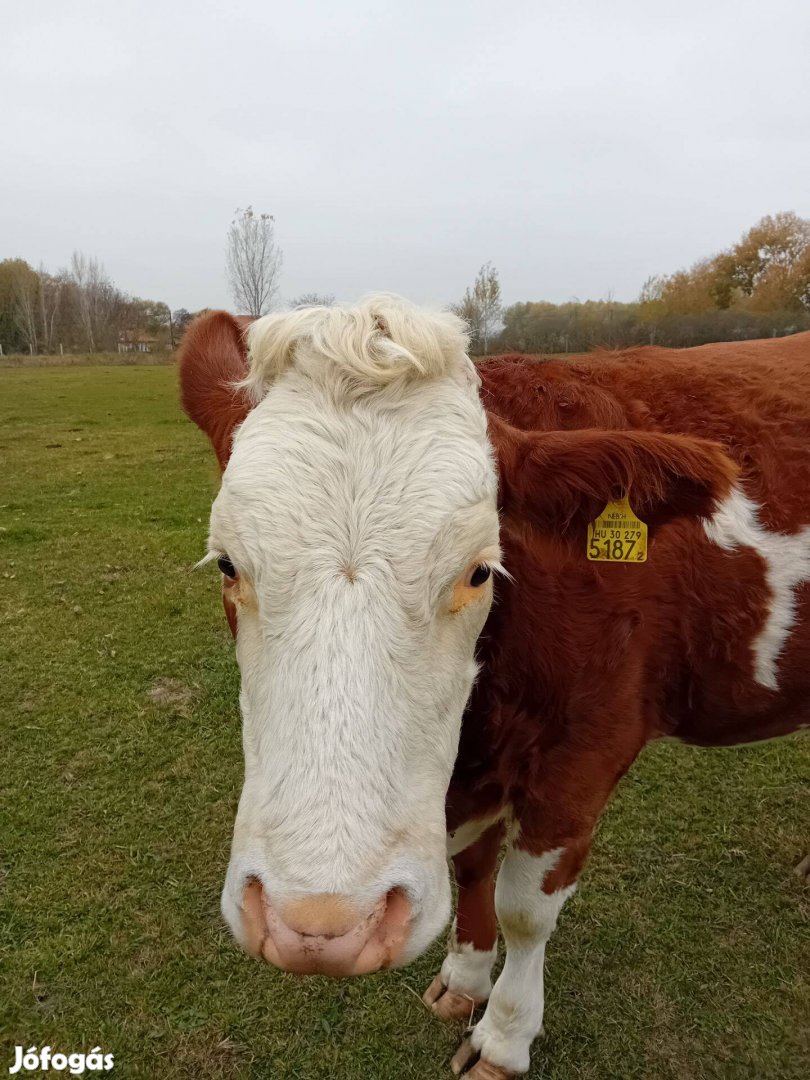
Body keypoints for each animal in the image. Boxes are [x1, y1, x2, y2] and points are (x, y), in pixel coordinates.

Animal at [179, 300, 810, 1080]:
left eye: (480, 570)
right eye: (227, 565)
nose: (320, 926)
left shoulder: (584, 759)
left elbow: (526, 908)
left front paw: (505, 1035)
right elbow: (472, 866)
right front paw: (464, 979)